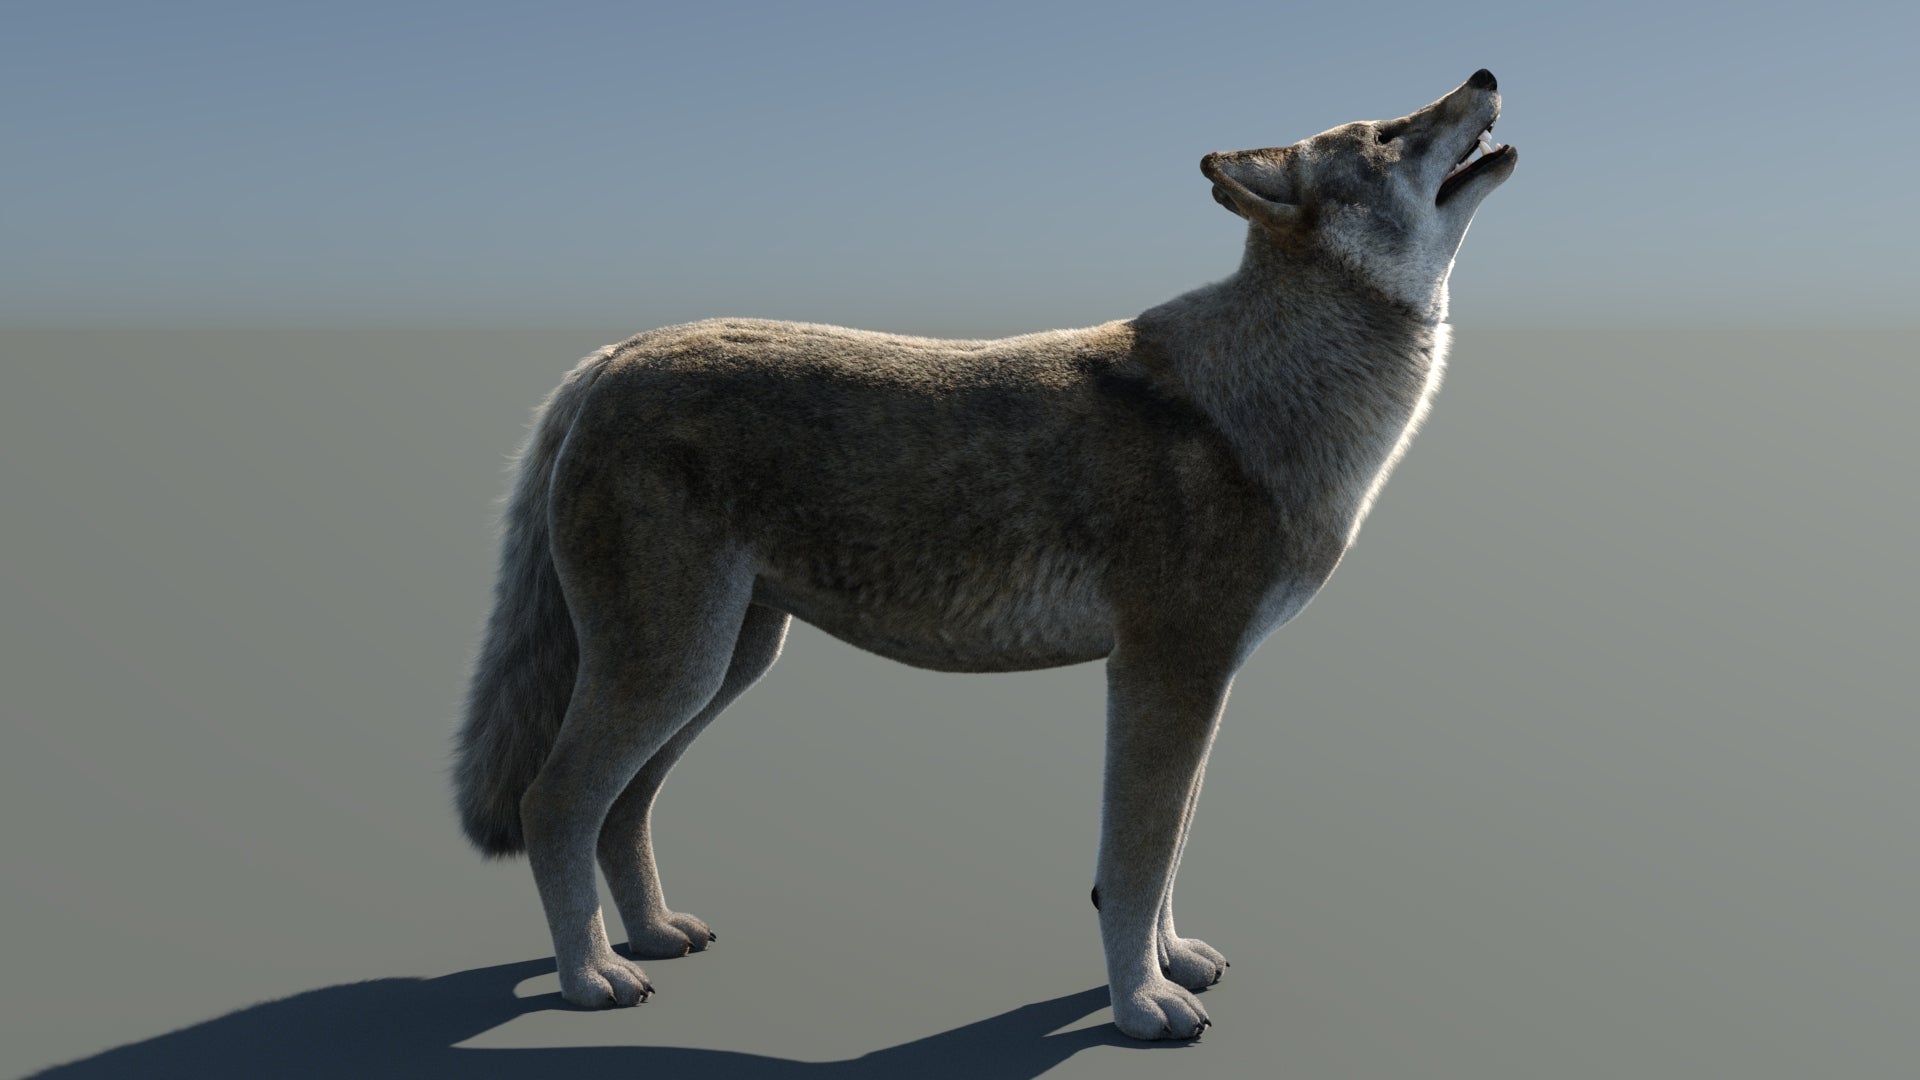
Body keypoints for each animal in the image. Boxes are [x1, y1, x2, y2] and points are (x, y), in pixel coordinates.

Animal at [454, 70, 1515, 1040]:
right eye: (1390, 132)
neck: (1261, 403)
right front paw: (1141, 1007)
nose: (1485, 75)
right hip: (675, 670)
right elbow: (1136, 863)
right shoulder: (1165, 675)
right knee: (555, 803)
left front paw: (1171, 964)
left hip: (722, 667)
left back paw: (652, 935)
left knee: (624, 807)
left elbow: (1169, 853)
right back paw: (591, 979)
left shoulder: (1201, 684)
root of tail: (612, 357)